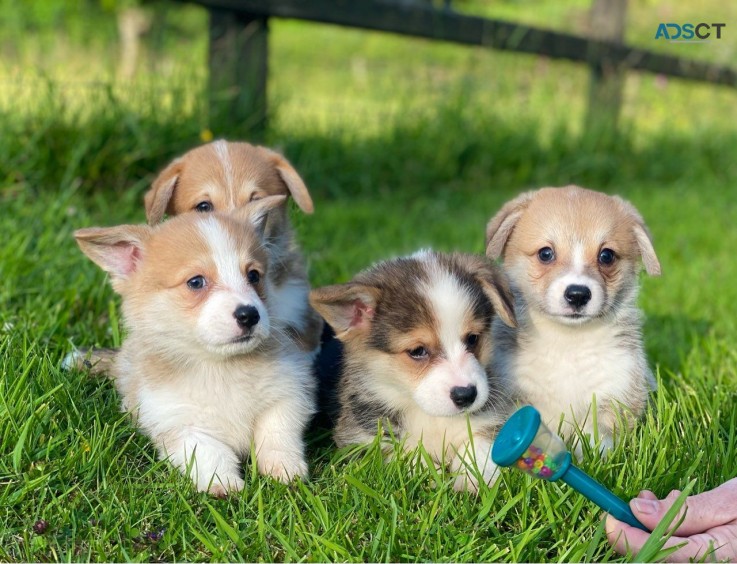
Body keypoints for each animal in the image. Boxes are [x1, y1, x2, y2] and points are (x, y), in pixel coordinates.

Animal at [74, 196, 314, 496]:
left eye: (254, 276)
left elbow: (277, 434)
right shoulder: (178, 423)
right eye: (196, 281)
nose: (249, 315)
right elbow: (210, 453)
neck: (221, 367)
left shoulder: (287, 395)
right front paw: (224, 484)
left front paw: (285, 470)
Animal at [308, 249, 516, 492]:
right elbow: (406, 456)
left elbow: (479, 451)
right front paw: (435, 478)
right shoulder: (362, 441)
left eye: (473, 338)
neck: (429, 414)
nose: (466, 395)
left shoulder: (489, 425)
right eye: (417, 351)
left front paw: (472, 481)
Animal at [486, 185, 660, 454]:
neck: (567, 342)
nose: (578, 294)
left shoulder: (616, 388)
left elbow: (598, 437)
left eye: (606, 256)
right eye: (546, 253)